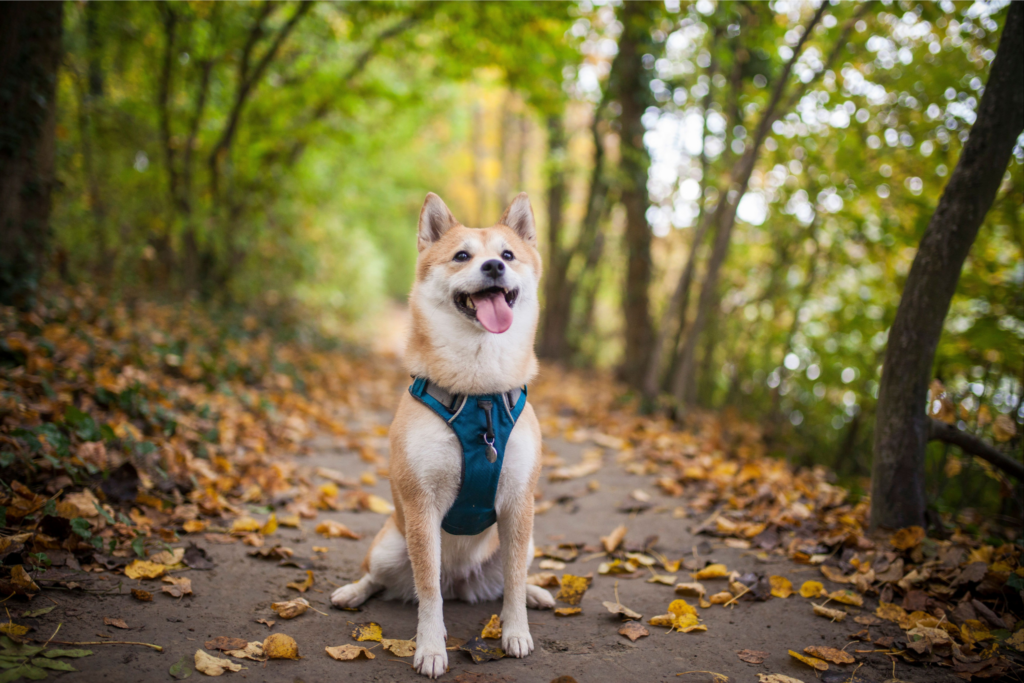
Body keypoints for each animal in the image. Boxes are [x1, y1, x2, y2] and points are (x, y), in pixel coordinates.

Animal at [329, 192, 557, 679]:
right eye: (462, 256)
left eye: (508, 254)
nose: (493, 266)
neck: (479, 395)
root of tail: (461, 583)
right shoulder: (422, 506)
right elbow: (428, 589)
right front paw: (431, 648)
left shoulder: (519, 503)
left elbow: (513, 581)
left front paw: (516, 630)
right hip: (390, 546)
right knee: (384, 578)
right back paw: (353, 592)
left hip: (525, 542)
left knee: (511, 577)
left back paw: (536, 593)